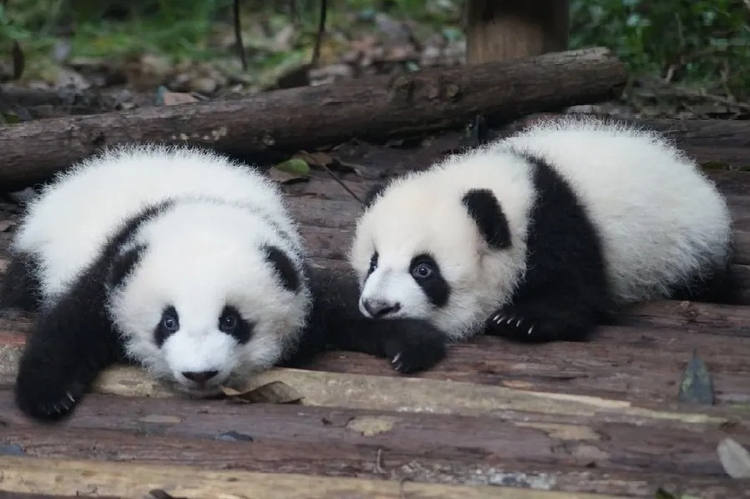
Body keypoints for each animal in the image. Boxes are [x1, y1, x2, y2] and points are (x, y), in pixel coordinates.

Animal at [2, 146, 445, 420]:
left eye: (231, 321)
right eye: (168, 322)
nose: (199, 375)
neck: (201, 207)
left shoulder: (292, 271)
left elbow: (342, 306)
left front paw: (412, 343)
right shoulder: (114, 267)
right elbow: (70, 324)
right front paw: (48, 396)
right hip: (39, 250)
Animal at [350, 118, 733, 343]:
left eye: (423, 269)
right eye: (373, 262)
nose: (377, 307)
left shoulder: (556, 225)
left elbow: (577, 293)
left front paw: (520, 320)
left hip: (687, 250)